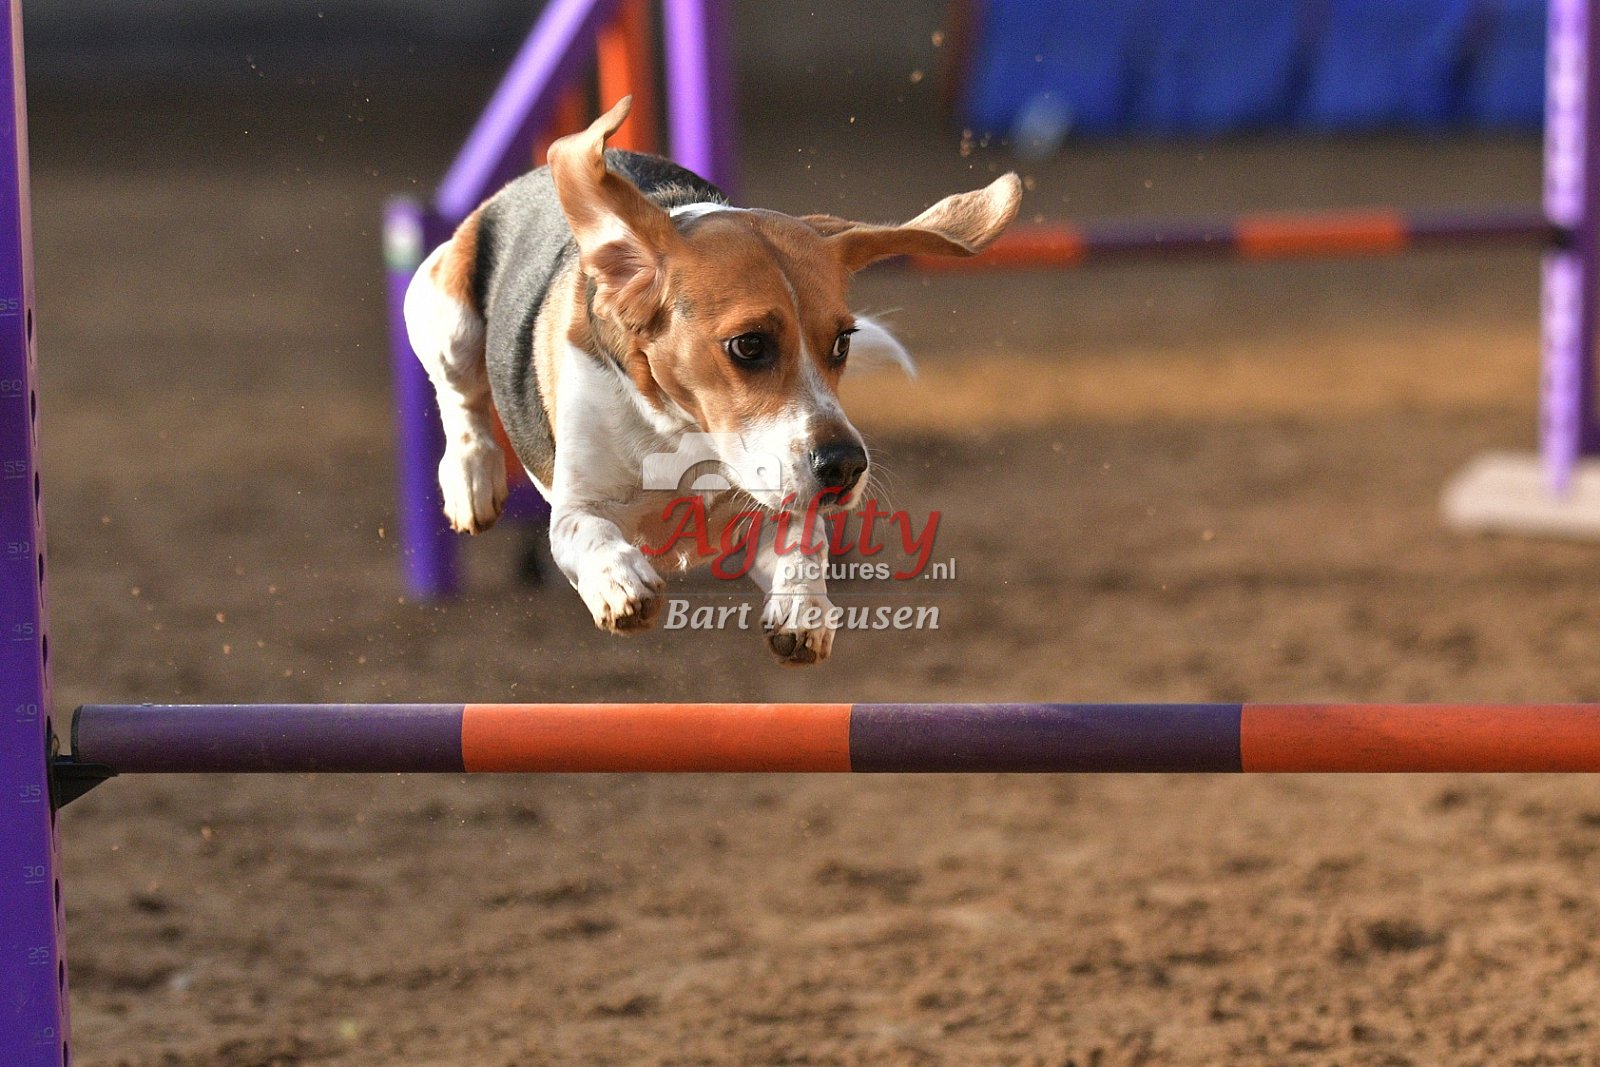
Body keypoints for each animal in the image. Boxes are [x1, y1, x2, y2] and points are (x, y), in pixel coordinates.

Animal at [404, 97, 1020, 665]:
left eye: (842, 342)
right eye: (748, 345)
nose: (845, 466)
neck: (682, 434)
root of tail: (518, 186)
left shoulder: (770, 502)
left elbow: (805, 540)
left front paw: (804, 608)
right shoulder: (577, 505)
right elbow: (589, 532)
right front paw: (619, 582)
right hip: (442, 311)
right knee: (460, 395)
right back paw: (471, 478)